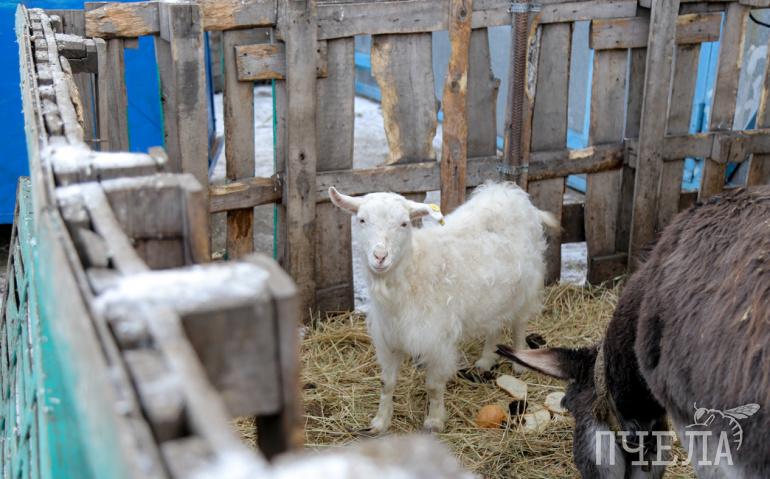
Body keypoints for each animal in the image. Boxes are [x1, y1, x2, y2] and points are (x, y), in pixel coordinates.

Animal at [329, 182, 558, 433]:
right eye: (361, 220)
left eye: (404, 223)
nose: (380, 256)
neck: (412, 272)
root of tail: (512, 193)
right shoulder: (389, 338)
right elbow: (386, 383)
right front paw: (380, 422)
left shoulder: (437, 341)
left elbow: (434, 386)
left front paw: (435, 420)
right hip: (494, 296)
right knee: (495, 326)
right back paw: (486, 360)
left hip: (527, 285)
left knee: (519, 323)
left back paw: (519, 365)